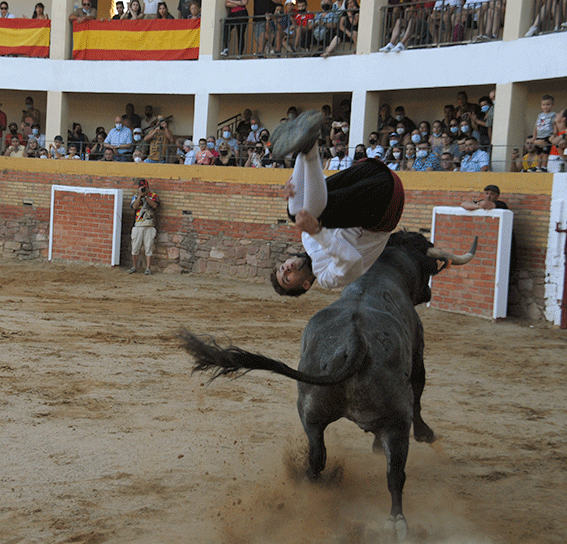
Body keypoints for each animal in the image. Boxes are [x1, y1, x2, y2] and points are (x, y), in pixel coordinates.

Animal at [181, 231, 474, 540]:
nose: (429, 293)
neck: (383, 271)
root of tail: (356, 341)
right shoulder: (417, 352)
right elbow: (418, 392)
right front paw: (424, 434)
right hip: (396, 419)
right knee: (395, 473)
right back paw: (396, 521)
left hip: (310, 411)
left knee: (317, 459)